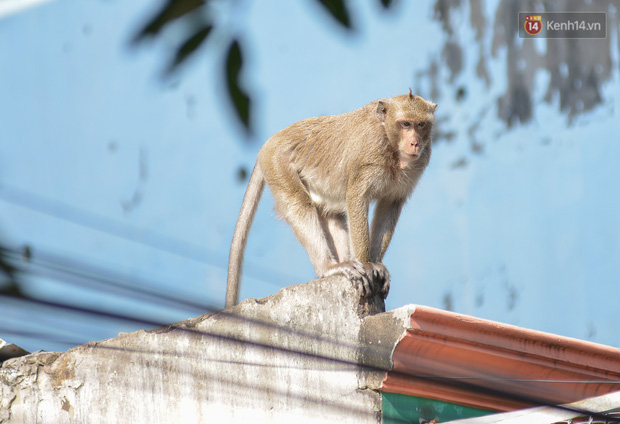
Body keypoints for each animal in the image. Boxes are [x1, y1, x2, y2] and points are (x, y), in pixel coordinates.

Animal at [226, 90, 436, 308]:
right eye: (405, 124)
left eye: (421, 124)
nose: (415, 143)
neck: (388, 138)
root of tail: (269, 141)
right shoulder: (370, 153)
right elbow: (356, 197)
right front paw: (367, 264)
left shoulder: (420, 161)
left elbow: (390, 204)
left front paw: (377, 263)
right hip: (277, 161)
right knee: (299, 205)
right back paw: (328, 267)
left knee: (332, 215)